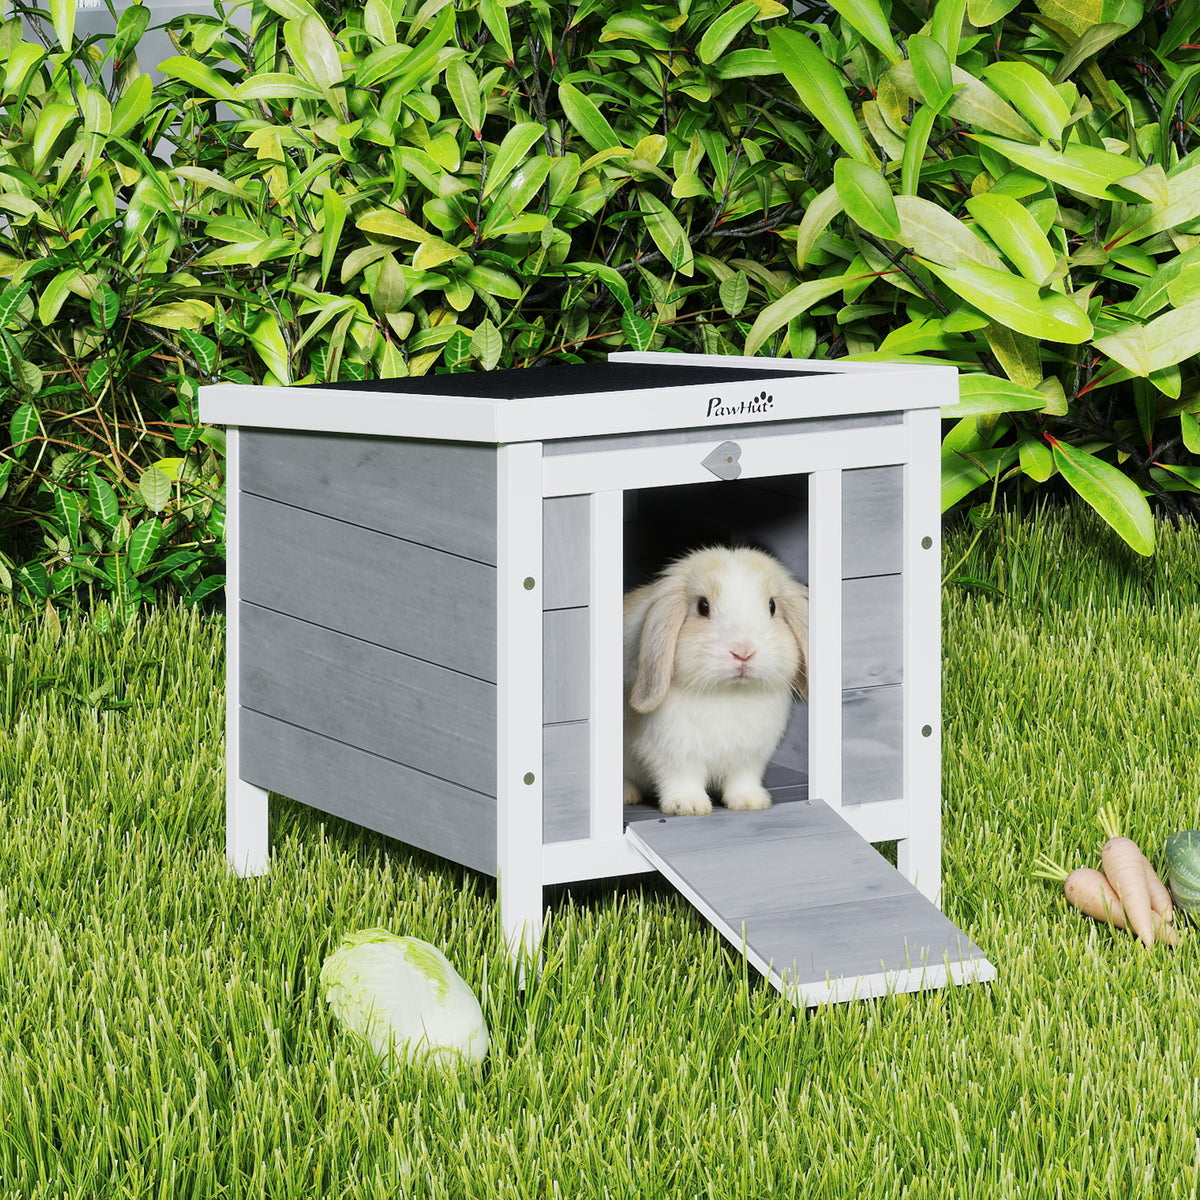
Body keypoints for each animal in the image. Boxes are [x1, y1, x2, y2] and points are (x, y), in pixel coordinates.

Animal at [622, 546, 809, 817]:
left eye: (772, 606)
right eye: (703, 606)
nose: (743, 652)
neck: (728, 692)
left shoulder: (749, 757)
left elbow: (742, 780)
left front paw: (750, 802)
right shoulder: (674, 752)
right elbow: (681, 778)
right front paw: (688, 805)